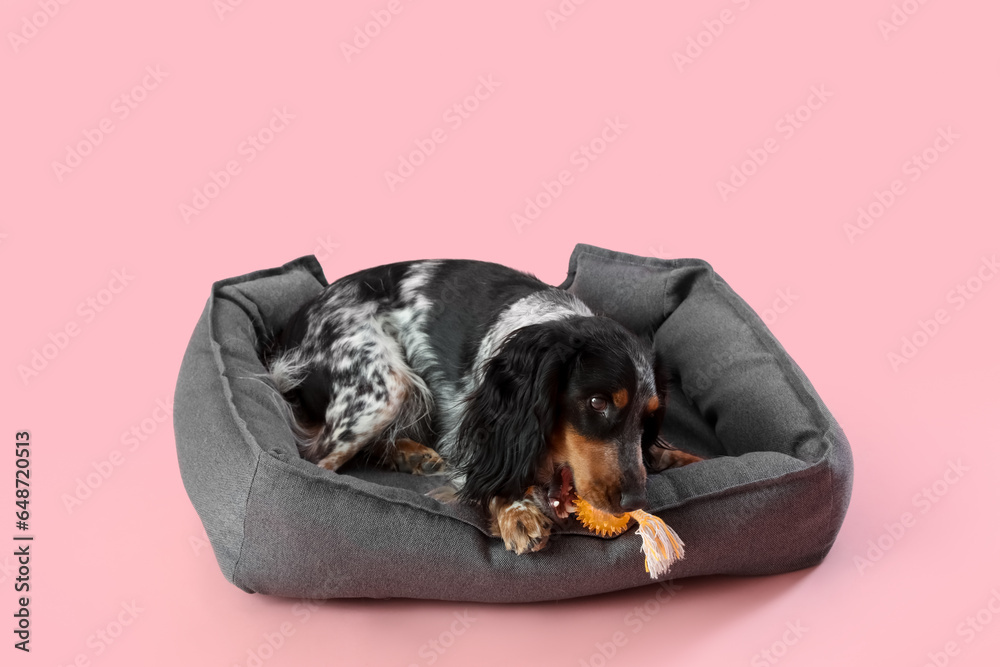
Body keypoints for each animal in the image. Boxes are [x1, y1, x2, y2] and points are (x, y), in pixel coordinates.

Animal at [268, 258, 704, 556]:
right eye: (597, 402)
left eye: (649, 418)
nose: (635, 502)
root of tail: (291, 325)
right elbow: (492, 473)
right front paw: (518, 511)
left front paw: (684, 458)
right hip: (384, 387)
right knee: (316, 457)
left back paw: (413, 455)